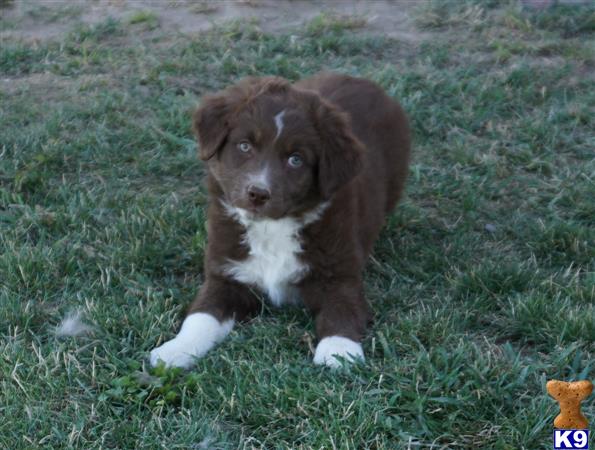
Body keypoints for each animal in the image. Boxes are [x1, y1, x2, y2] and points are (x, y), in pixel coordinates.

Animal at [150, 73, 410, 370]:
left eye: (295, 159)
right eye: (244, 146)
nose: (258, 193)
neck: (271, 227)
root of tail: (361, 80)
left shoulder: (340, 274)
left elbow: (341, 311)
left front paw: (338, 352)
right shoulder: (227, 272)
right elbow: (201, 316)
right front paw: (175, 350)